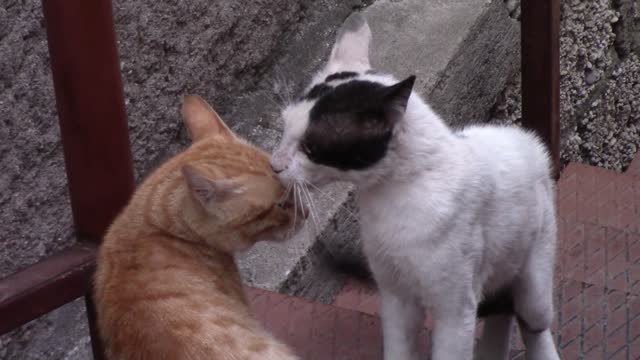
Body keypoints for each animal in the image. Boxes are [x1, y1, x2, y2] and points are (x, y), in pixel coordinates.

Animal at [272, 11, 560, 360]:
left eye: (311, 148)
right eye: (284, 127)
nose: (274, 164)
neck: (391, 196)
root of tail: (526, 138)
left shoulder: (455, 308)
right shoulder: (395, 295)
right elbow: (398, 349)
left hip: (535, 273)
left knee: (533, 322)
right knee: (502, 310)